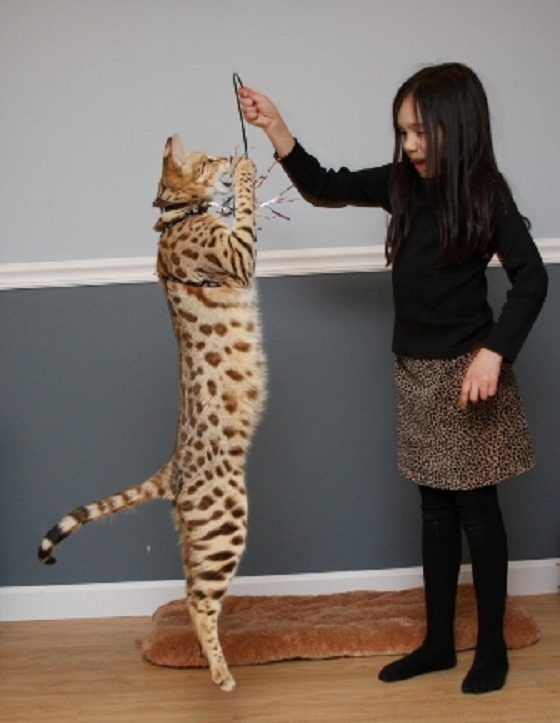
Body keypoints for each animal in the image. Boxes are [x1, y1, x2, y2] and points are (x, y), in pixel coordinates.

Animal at [38, 133, 266, 692]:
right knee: (197, 600)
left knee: (190, 591)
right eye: (210, 158)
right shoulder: (238, 253)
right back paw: (220, 673)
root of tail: (172, 468)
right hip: (225, 522)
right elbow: (245, 208)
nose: (229, 155)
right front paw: (246, 170)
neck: (176, 217)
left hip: (200, 533)